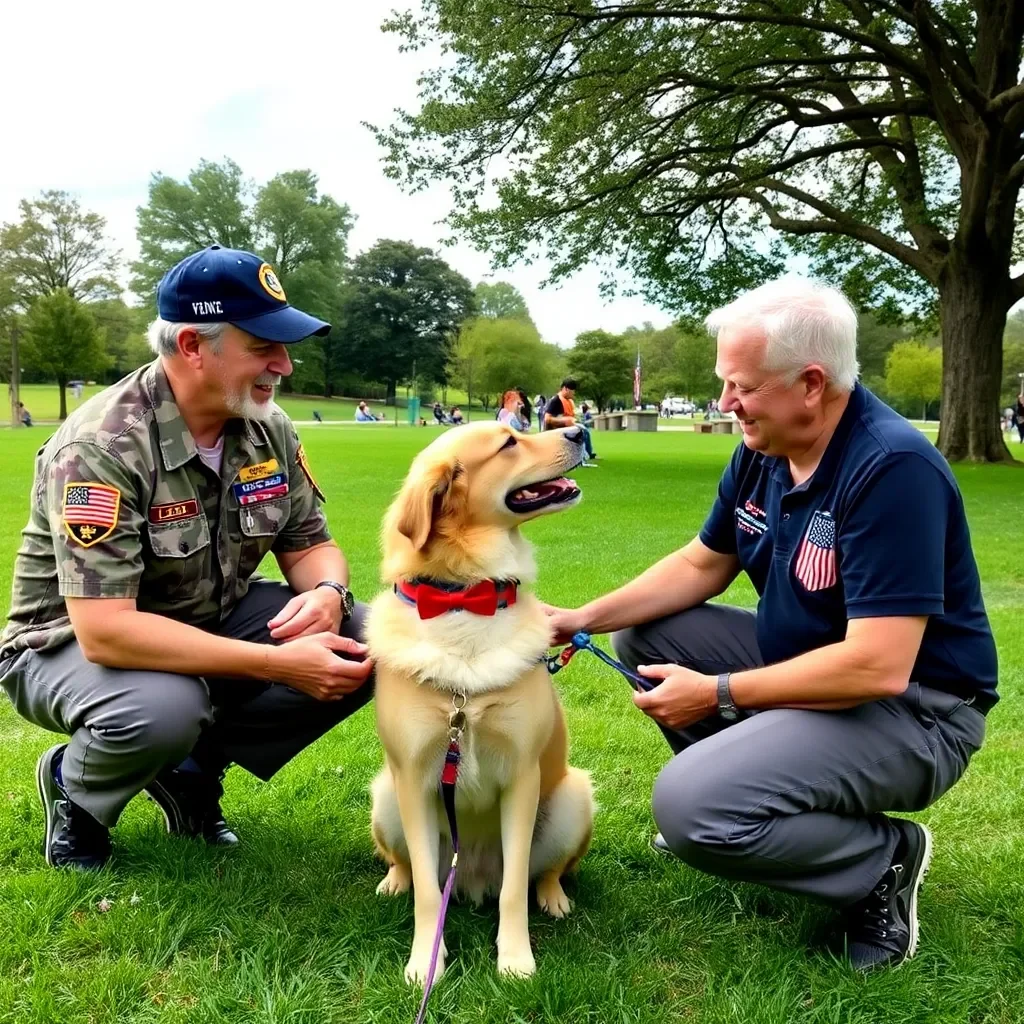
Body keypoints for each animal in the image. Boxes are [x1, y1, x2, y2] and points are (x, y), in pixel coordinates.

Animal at [366, 421, 593, 983]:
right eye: (509, 442)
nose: (581, 429)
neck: (465, 600)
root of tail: (469, 879)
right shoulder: (414, 778)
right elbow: (429, 894)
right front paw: (425, 962)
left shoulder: (522, 775)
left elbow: (514, 890)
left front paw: (514, 960)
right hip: (385, 796)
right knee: (409, 867)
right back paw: (394, 881)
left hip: (572, 797)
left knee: (543, 873)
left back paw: (554, 898)